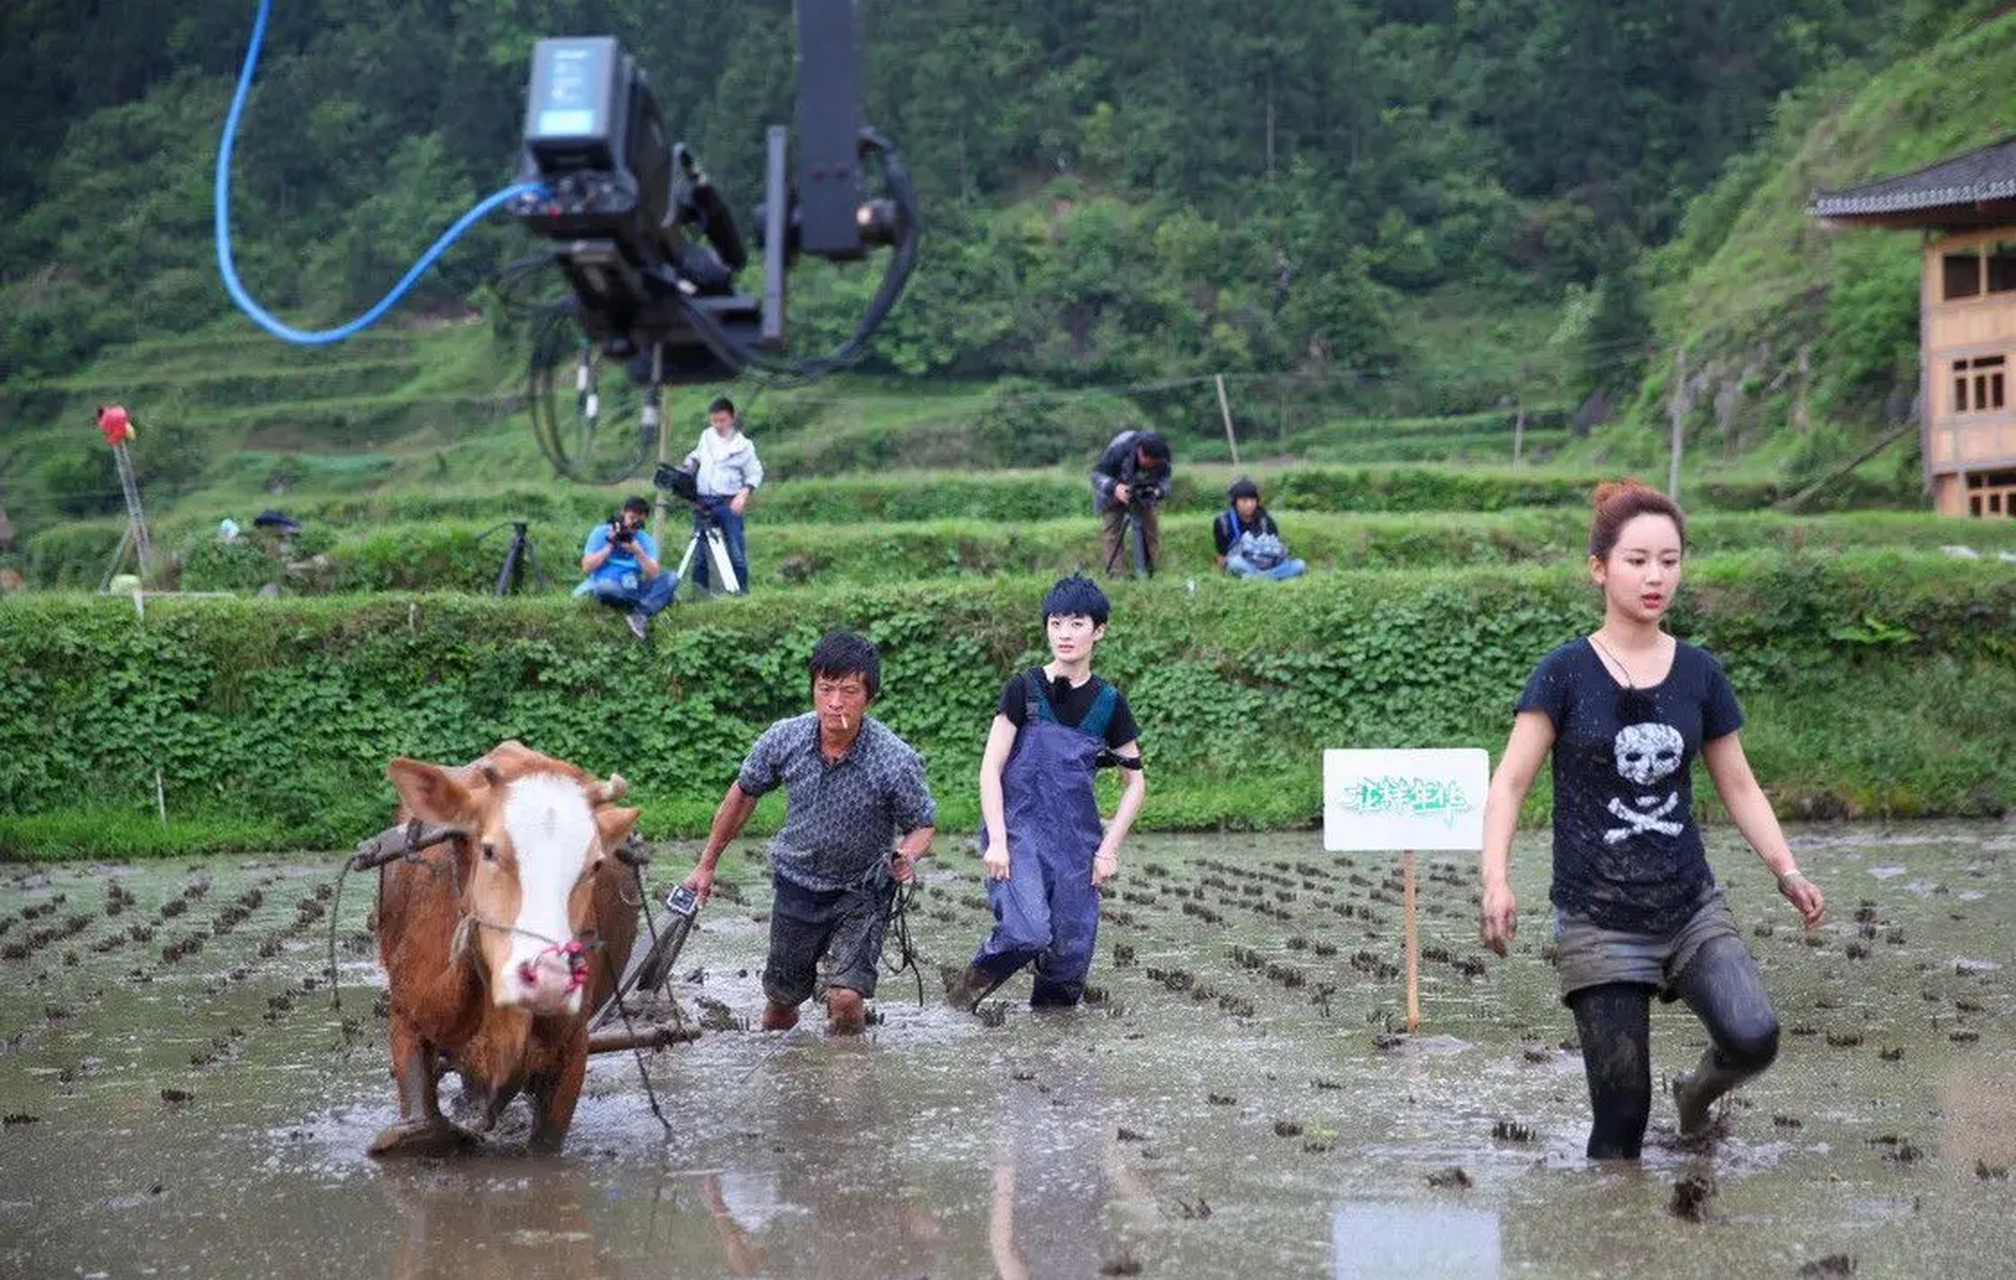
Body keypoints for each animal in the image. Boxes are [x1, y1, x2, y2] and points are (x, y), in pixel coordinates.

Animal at [368, 741, 637, 1161]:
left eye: (595, 864)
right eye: (490, 850)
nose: (549, 979)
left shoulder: (573, 1048)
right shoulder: (405, 1017)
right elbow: (420, 1125)